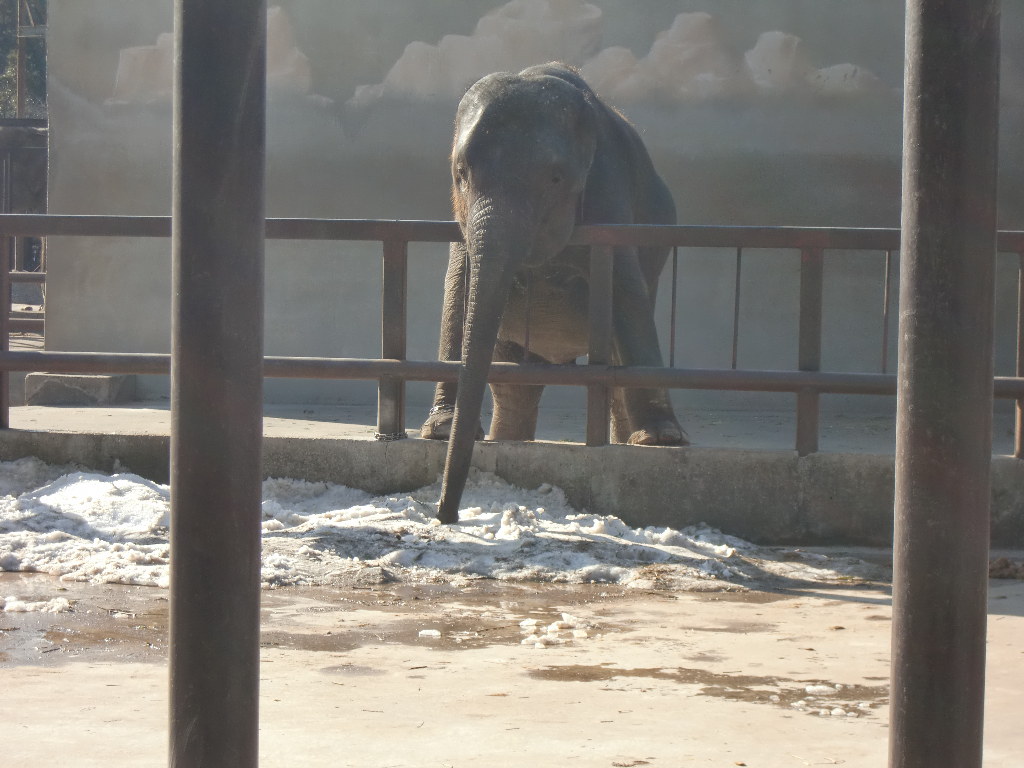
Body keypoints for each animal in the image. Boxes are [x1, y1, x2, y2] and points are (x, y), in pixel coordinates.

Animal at [423, 64, 688, 524]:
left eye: (556, 178)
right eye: (461, 173)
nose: (444, 514)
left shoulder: (609, 192)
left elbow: (626, 290)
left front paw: (663, 441)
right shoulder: (459, 215)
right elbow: (459, 290)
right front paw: (440, 430)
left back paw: (635, 442)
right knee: (516, 383)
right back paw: (509, 441)